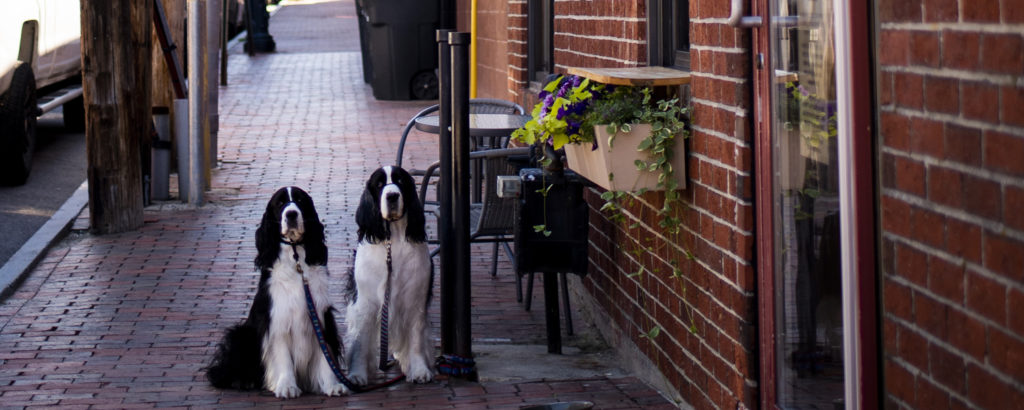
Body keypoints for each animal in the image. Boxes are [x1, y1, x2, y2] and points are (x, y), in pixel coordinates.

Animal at [203, 185, 348, 397]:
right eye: (280, 203)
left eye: (300, 200)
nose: (291, 214)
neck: (295, 260)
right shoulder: (276, 318)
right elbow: (281, 354)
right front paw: (287, 386)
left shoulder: (321, 315)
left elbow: (325, 354)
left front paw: (333, 385)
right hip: (241, 334)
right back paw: (243, 381)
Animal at [346, 166, 434, 385]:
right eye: (379, 184)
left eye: (400, 181)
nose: (392, 195)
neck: (392, 242)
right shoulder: (365, 302)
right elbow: (360, 341)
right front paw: (357, 374)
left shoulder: (415, 299)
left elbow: (416, 338)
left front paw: (419, 370)